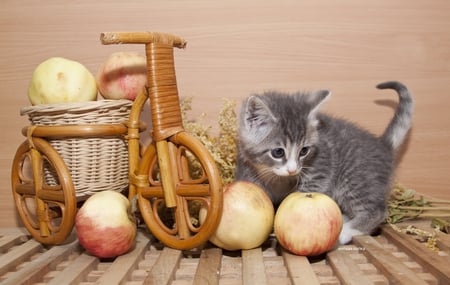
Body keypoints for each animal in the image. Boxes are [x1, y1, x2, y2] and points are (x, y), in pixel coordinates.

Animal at [237, 81, 414, 243]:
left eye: (304, 151)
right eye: (278, 152)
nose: (293, 170)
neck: (278, 178)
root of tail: (383, 145)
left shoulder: (321, 165)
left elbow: (308, 189)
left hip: (355, 177)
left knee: (378, 210)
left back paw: (347, 230)